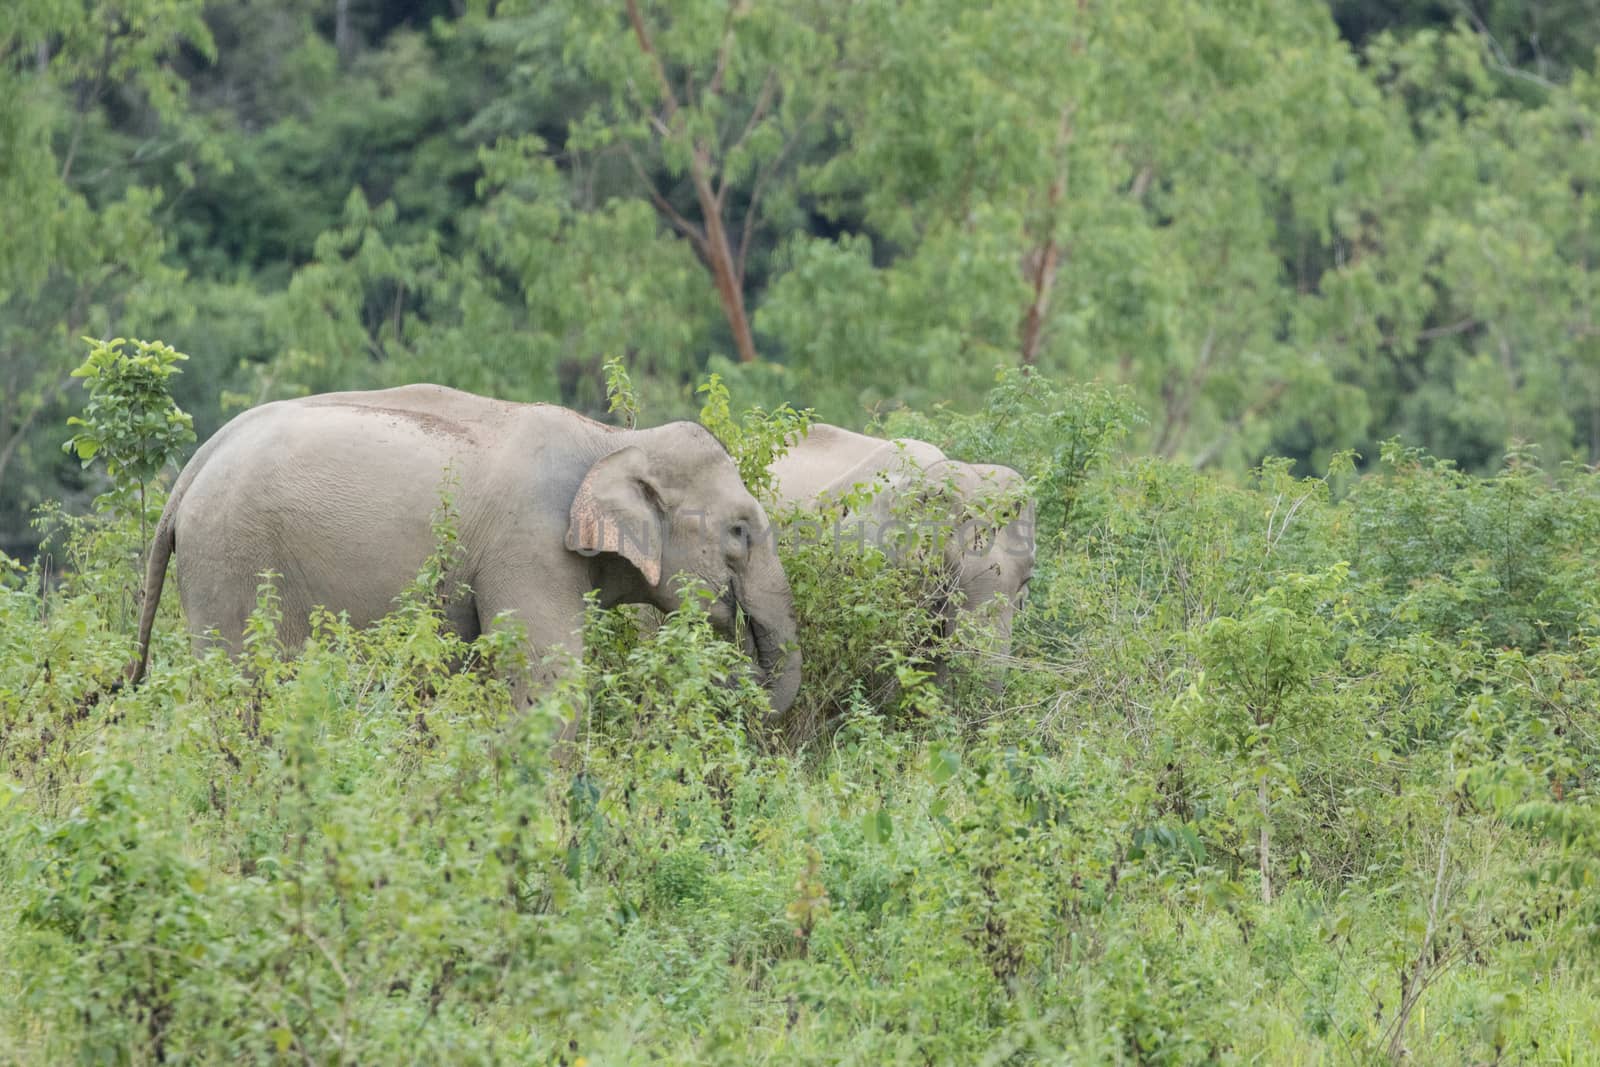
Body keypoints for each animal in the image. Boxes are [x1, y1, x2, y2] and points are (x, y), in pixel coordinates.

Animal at [126, 382, 806, 735]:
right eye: (740, 531)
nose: (733, 629)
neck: (611, 440)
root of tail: (191, 470)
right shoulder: (528, 548)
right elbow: (551, 683)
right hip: (230, 561)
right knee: (236, 688)